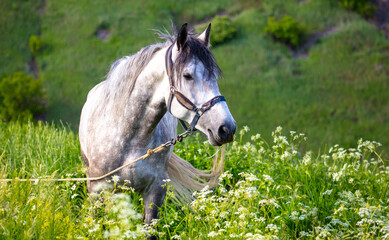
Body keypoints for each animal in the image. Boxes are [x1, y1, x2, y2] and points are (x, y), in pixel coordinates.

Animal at [78, 23, 235, 234]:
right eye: (187, 75)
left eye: (215, 76)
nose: (227, 129)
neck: (129, 138)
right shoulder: (96, 190)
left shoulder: (155, 192)